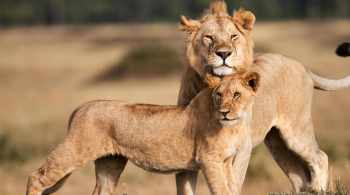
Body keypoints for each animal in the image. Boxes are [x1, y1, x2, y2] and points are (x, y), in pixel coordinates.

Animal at [26, 71, 260, 195]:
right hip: (75, 149)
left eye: (236, 94)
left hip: (110, 164)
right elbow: (222, 190)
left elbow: (233, 187)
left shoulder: (226, 161)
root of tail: (82, 105)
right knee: (36, 176)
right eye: (219, 94)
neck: (235, 125)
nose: (224, 112)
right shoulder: (208, 160)